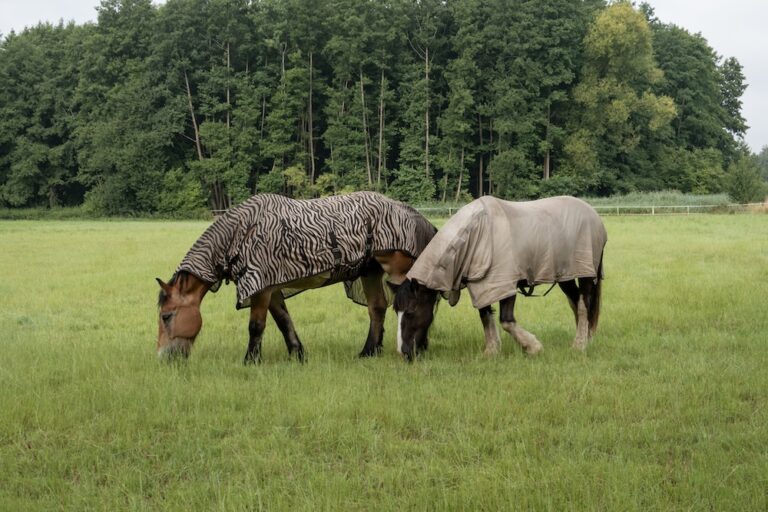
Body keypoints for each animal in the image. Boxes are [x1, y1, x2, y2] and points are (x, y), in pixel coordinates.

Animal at [156, 191, 437, 363]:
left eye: (166, 316)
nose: (164, 357)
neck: (242, 232)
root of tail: (412, 213)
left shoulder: (260, 288)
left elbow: (256, 326)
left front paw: (251, 360)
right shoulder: (271, 289)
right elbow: (283, 321)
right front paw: (297, 354)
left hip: (400, 271)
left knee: (419, 300)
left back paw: (417, 345)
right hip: (370, 271)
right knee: (377, 308)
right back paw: (369, 351)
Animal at [392, 195, 607, 361]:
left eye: (410, 312)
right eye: (396, 312)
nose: (404, 353)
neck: (475, 234)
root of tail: (593, 214)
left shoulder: (504, 283)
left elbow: (506, 320)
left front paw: (533, 347)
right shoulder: (481, 285)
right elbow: (485, 316)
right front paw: (491, 350)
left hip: (585, 273)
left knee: (583, 305)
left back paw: (579, 345)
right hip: (565, 275)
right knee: (576, 302)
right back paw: (585, 338)